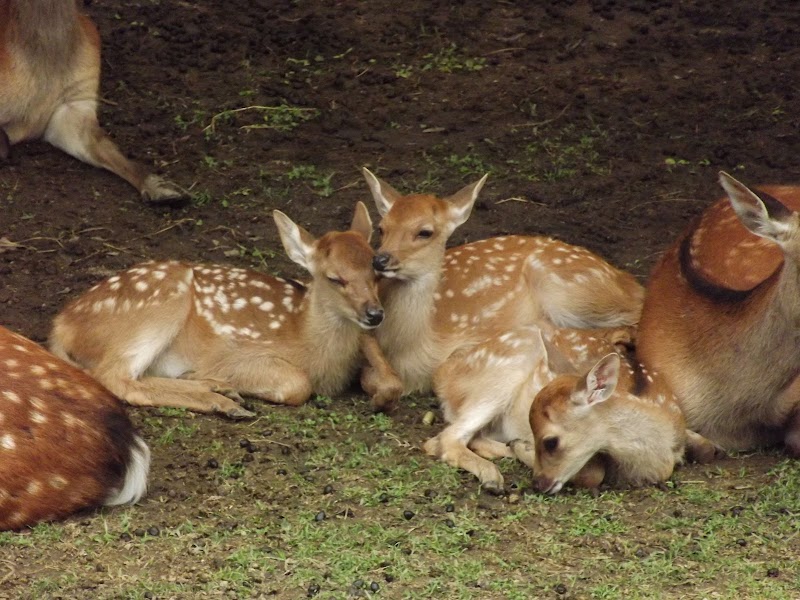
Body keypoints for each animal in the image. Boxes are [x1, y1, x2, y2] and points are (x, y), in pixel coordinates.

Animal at [49, 202, 402, 417]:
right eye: (335, 278)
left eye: (376, 271)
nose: (375, 314)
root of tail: (61, 324)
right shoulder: (239, 351)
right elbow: (297, 384)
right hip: (159, 303)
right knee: (114, 377)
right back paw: (219, 398)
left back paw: (221, 391)